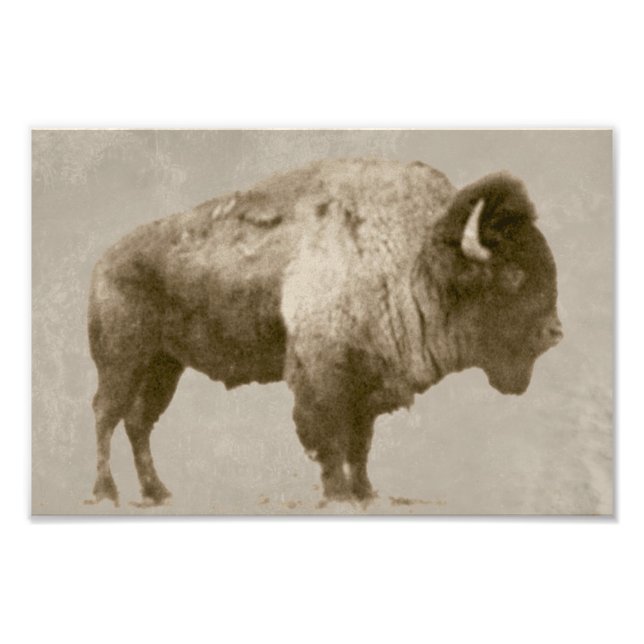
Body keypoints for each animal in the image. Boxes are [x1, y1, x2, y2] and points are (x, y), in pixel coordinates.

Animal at [87, 158, 562, 507]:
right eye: (513, 275)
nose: (555, 332)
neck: (414, 260)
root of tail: (105, 261)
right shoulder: (323, 380)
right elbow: (330, 441)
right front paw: (339, 496)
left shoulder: (367, 386)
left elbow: (360, 444)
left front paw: (365, 493)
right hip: (121, 362)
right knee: (106, 415)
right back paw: (106, 492)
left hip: (164, 366)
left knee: (138, 423)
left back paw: (157, 492)